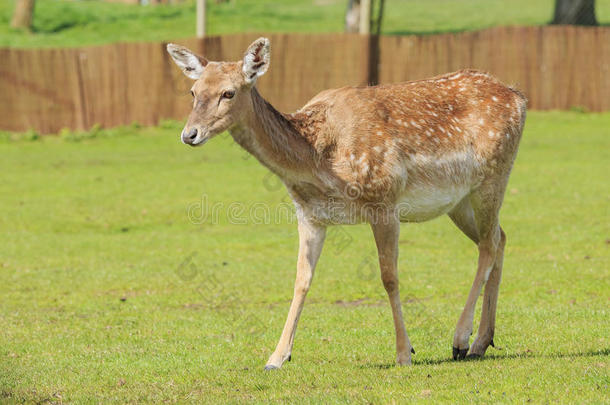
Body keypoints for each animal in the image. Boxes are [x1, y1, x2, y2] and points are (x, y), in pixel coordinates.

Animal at [165, 38, 524, 370]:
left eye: (229, 93)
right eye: (193, 92)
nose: (189, 134)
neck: (319, 162)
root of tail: (519, 97)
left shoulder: (385, 200)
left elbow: (389, 276)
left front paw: (403, 353)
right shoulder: (310, 215)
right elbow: (301, 279)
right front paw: (277, 357)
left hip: (493, 176)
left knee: (488, 245)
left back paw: (461, 340)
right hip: (458, 201)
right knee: (500, 238)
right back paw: (482, 341)